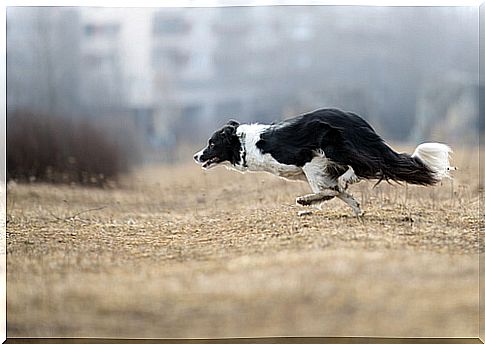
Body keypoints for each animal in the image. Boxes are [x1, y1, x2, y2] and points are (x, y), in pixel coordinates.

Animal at [192, 107, 450, 215]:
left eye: (211, 143)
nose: (196, 156)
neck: (245, 143)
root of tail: (358, 122)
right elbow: (338, 193)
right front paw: (356, 208)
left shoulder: (312, 163)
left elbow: (330, 190)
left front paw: (308, 201)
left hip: (334, 148)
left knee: (365, 167)